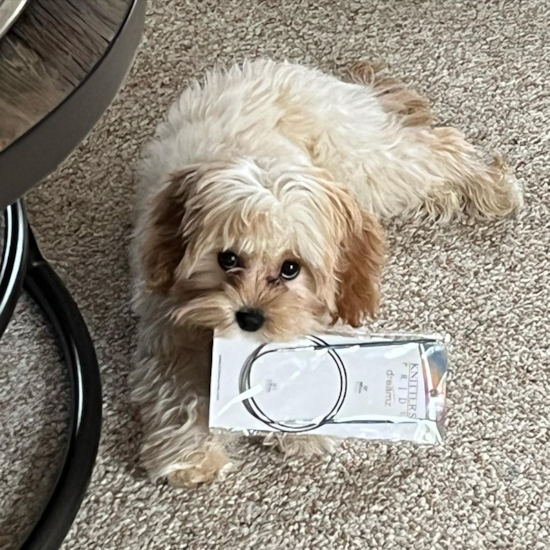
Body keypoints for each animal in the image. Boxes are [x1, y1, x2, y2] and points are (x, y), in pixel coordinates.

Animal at [132, 60, 524, 490]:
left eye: (290, 268)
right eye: (227, 258)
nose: (250, 318)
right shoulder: (167, 325)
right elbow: (177, 386)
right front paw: (191, 452)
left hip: (371, 164)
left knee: (436, 151)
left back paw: (491, 186)